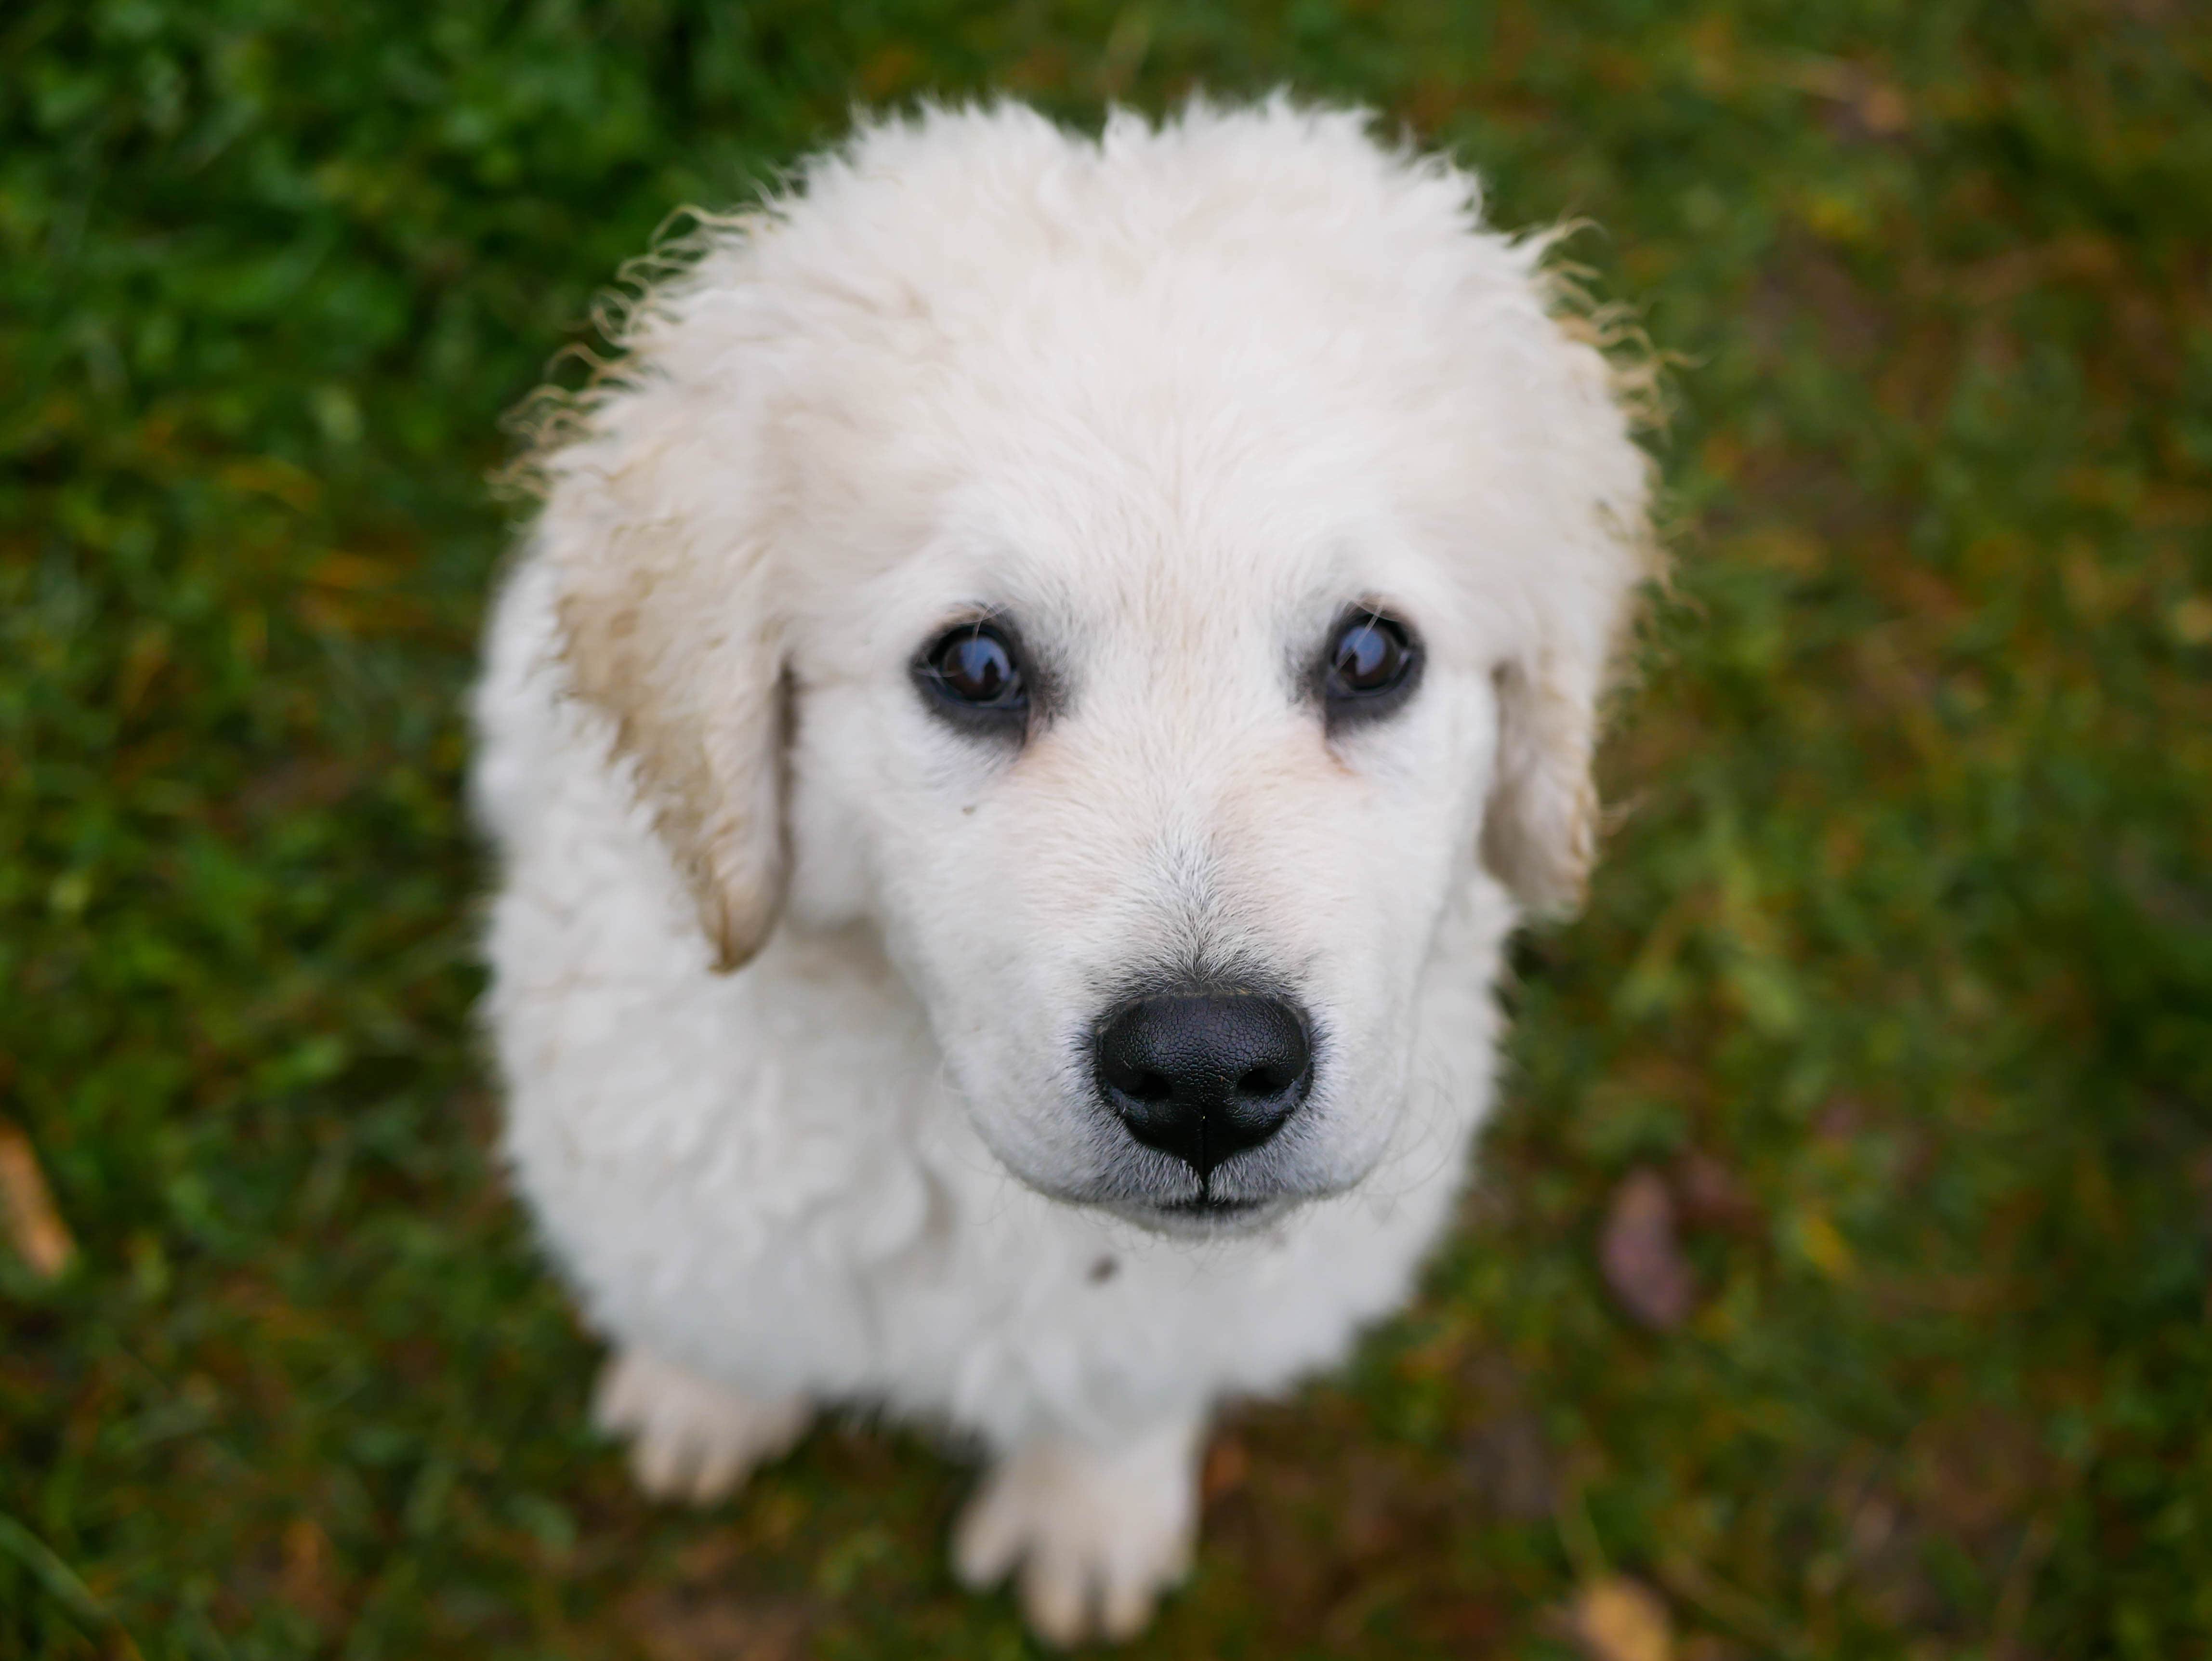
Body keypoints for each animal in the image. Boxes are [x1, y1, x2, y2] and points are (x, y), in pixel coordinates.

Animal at [471, 97, 1646, 1645]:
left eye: (1372, 654)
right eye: (974, 666)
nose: (1207, 1070)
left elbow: (1125, 1384)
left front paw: (1091, 1519)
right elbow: (714, 1291)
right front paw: (700, 1399)